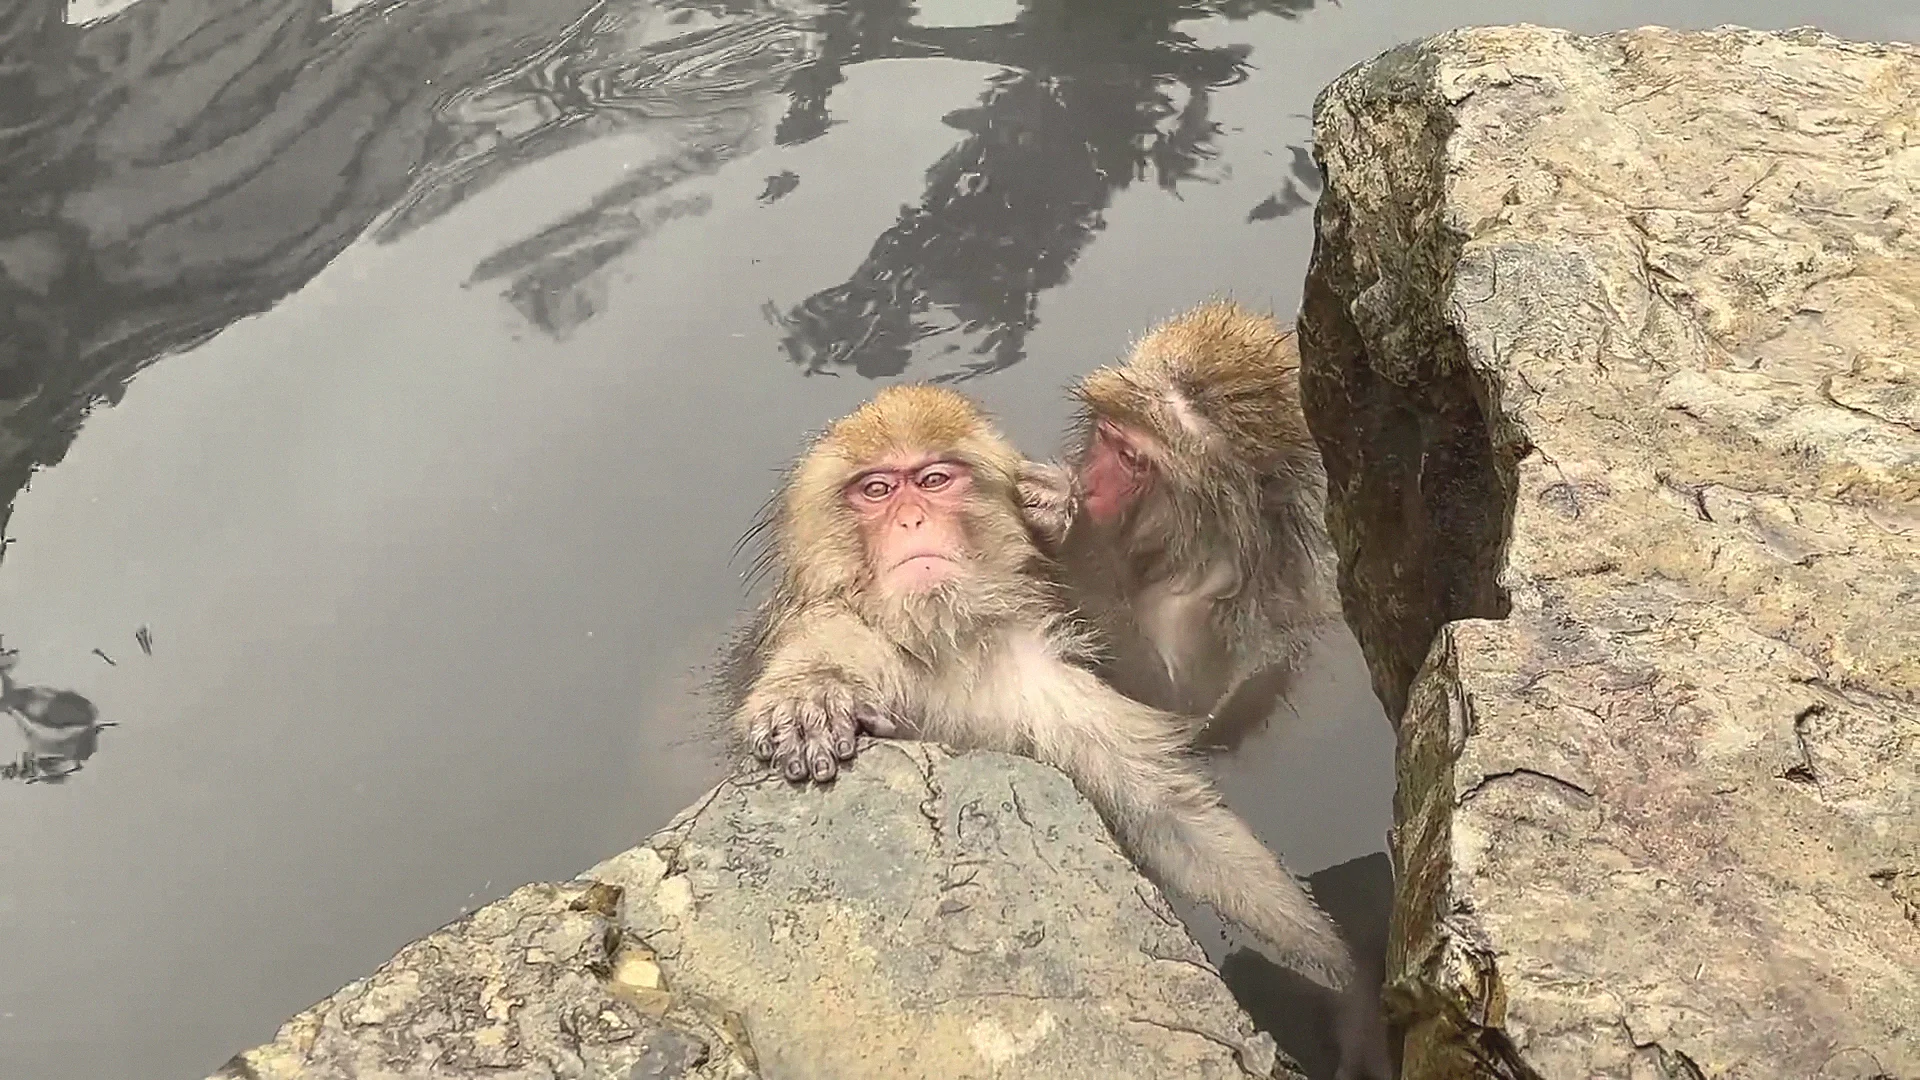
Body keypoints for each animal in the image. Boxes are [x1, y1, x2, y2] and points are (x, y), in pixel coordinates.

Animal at [718, 384, 1355, 992]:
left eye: (933, 480)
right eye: (877, 489)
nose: (911, 520)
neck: (947, 642)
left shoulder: (1055, 694)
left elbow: (1168, 818)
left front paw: (1335, 963)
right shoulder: (836, 627)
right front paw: (810, 700)